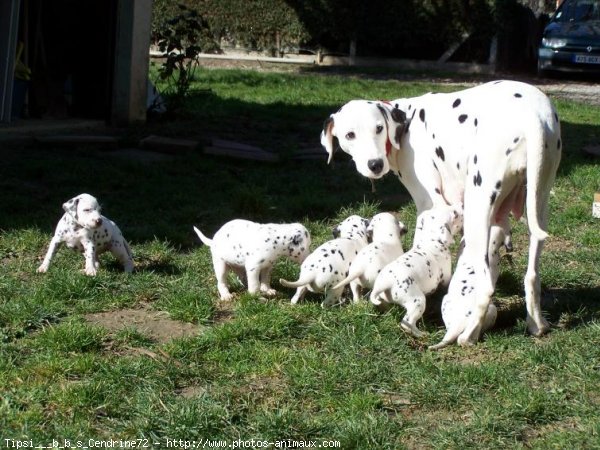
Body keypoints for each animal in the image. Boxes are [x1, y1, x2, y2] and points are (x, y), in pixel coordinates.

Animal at [370, 206, 464, 336]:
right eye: (455, 214)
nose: (461, 206)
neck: (430, 240)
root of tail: (385, 283)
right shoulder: (445, 276)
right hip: (417, 301)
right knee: (407, 323)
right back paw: (422, 334)